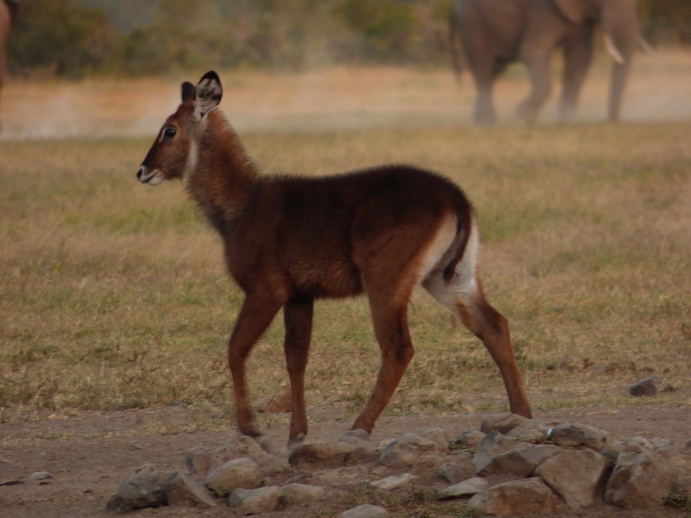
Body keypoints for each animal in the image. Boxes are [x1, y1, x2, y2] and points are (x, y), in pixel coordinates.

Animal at [137, 71, 536, 446]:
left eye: (169, 130)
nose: (142, 171)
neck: (241, 206)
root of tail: (455, 198)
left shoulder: (265, 291)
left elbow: (236, 348)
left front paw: (252, 429)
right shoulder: (300, 295)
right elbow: (296, 358)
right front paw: (296, 434)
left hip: (386, 280)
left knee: (398, 348)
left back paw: (360, 427)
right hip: (450, 278)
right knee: (494, 325)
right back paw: (520, 416)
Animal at [452, 0, 652, 125]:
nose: (612, 121)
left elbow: (580, 58)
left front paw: (567, 120)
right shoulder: (541, 9)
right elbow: (533, 51)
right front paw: (523, 115)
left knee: (495, 69)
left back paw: (479, 121)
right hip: (470, 22)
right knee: (482, 66)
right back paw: (489, 122)